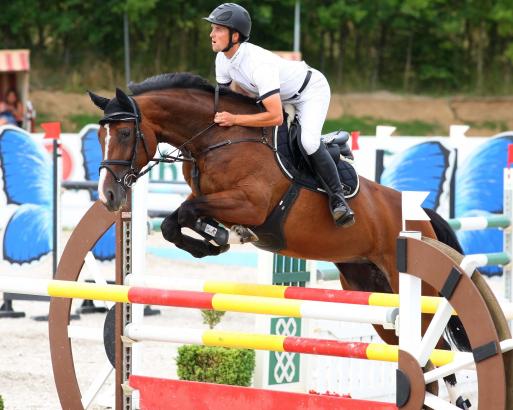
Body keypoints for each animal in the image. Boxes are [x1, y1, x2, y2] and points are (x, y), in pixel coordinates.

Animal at [88, 71, 472, 400]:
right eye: (98, 136)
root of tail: (422, 216)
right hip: (369, 288)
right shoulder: (213, 200)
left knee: (437, 353)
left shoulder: (250, 204)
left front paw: (221, 236)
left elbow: (186, 213)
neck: (216, 138)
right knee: (419, 359)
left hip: (415, 292)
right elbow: (174, 222)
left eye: (125, 134)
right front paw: (214, 239)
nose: (108, 196)